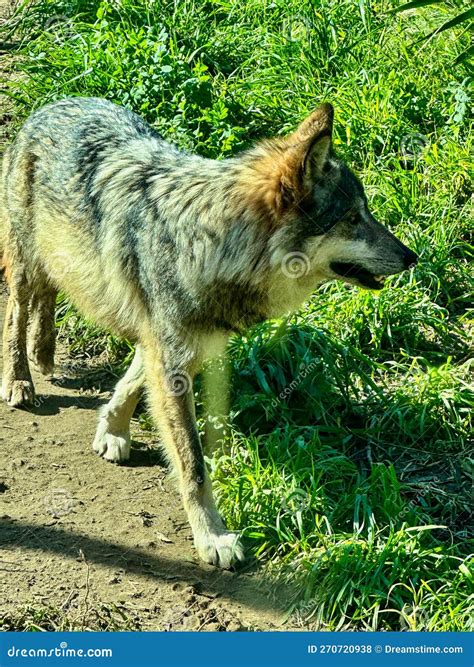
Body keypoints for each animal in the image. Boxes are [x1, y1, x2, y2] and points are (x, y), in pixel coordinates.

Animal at [0, 98, 418, 568]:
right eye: (352, 218)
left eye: (365, 213)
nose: (412, 256)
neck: (210, 246)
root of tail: (54, 103)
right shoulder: (172, 353)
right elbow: (194, 464)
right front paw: (212, 537)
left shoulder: (172, 342)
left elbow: (132, 381)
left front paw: (112, 430)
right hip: (26, 262)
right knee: (16, 309)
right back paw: (19, 379)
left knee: (48, 297)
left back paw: (44, 352)